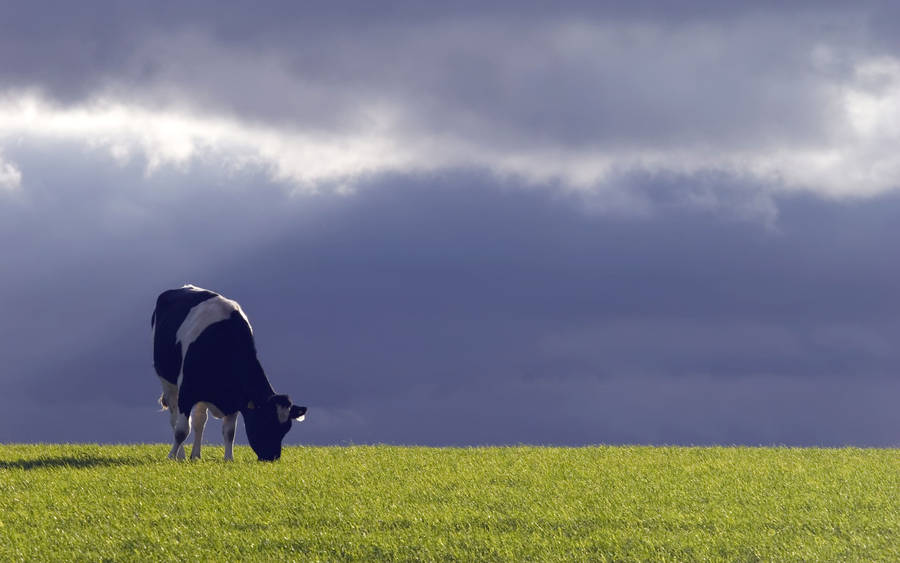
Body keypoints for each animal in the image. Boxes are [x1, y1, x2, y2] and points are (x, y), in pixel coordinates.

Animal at [151, 286, 306, 462]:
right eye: (266, 421)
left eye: (286, 428)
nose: (272, 457)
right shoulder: (187, 390)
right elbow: (181, 431)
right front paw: (171, 456)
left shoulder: (234, 398)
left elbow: (229, 432)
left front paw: (228, 459)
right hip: (168, 382)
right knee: (174, 419)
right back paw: (181, 455)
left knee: (199, 421)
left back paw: (196, 455)